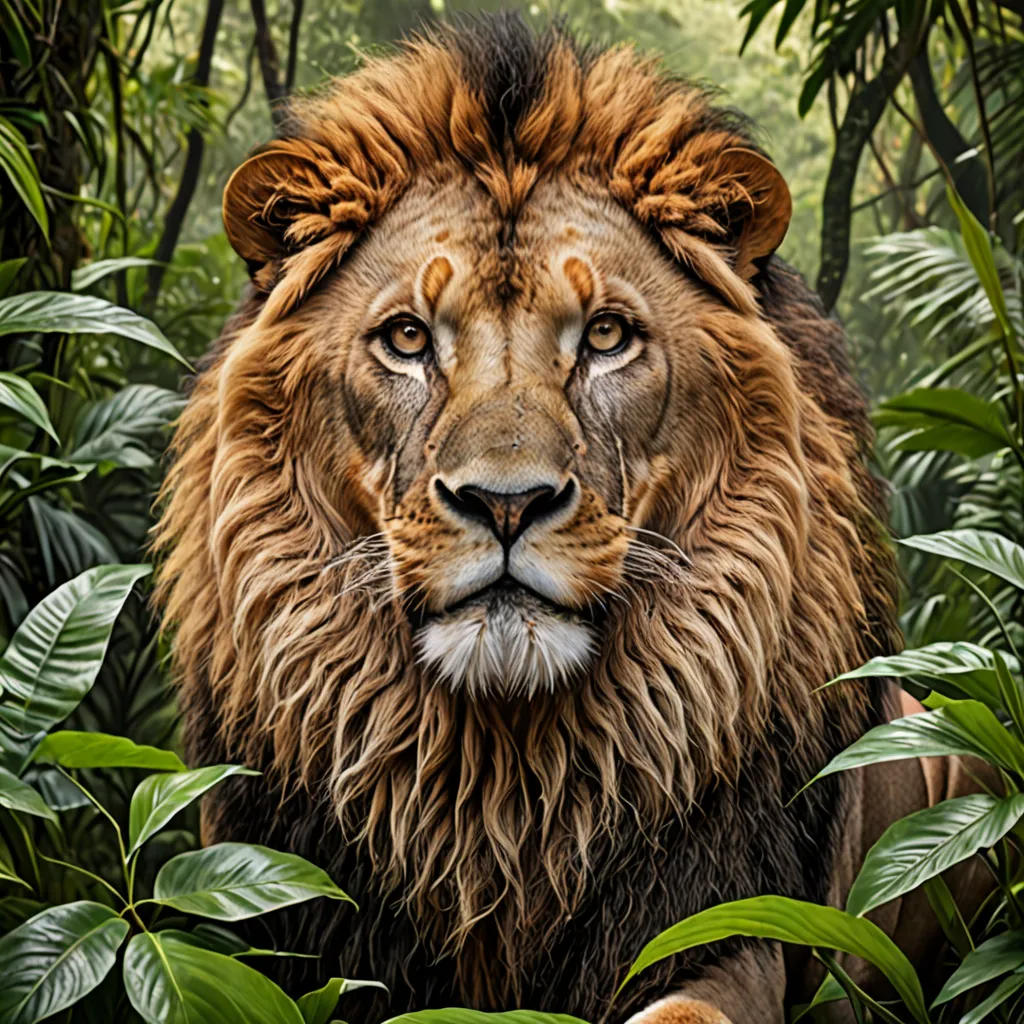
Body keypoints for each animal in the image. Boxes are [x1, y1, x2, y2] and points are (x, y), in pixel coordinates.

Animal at [154, 14, 986, 1023]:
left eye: (605, 336)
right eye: (407, 338)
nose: (506, 502)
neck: (502, 784)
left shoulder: (730, 924)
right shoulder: (261, 913)